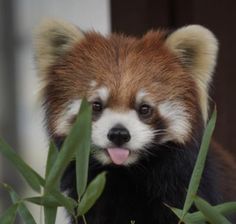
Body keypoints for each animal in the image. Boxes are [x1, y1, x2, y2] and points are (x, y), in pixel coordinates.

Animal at [34, 20, 235, 223]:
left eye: (144, 109)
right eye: (96, 105)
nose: (119, 134)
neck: (124, 175)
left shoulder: (194, 193)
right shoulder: (85, 199)